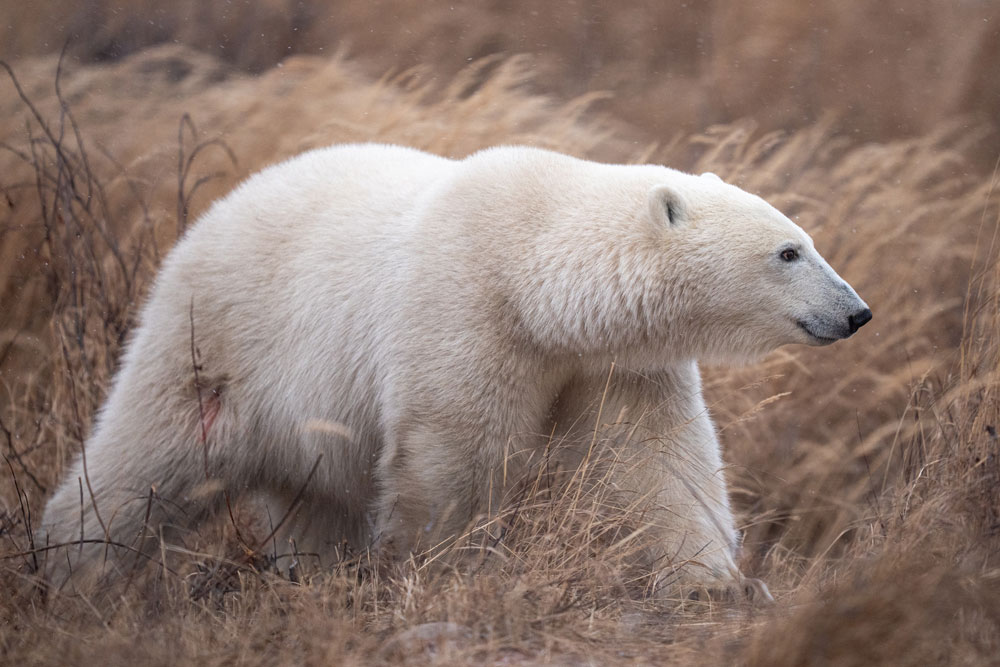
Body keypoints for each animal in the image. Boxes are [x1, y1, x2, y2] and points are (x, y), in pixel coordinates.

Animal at [38, 143, 871, 600]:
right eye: (789, 251)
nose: (856, 310)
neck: (535, 272)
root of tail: (207, 218)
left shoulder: (612, 361)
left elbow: (658, 459)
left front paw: (717, 582)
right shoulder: (464, 311)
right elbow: (452, 455)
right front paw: (440, 572)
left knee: (314, 504)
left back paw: (318, 575)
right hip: (217, 340)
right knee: (146, 459)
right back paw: (68, 568)